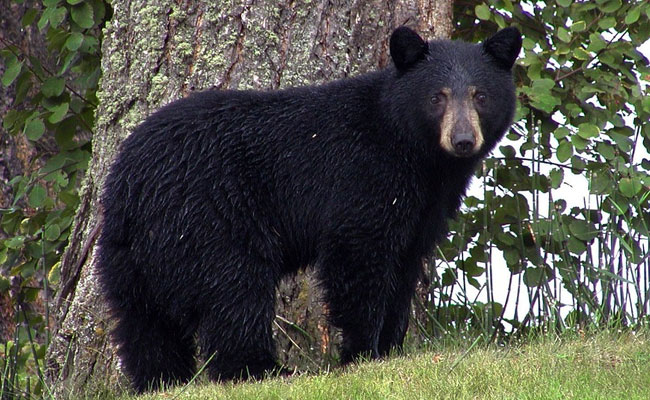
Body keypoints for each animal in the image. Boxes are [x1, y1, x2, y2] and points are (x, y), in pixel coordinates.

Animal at [97, 26, 522, 393]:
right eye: (438, 96)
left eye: (480, 95)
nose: (463, 140)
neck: (417, 155)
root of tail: (131, 183)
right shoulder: (364, 177)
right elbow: (358, 257)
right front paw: (362, 353)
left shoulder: (423, 207)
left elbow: (404, 267)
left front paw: (391, 349)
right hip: (209, 218)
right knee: (234, 292)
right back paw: (263, 369)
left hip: (129, 254)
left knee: (144, 323)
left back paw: (161, 380)